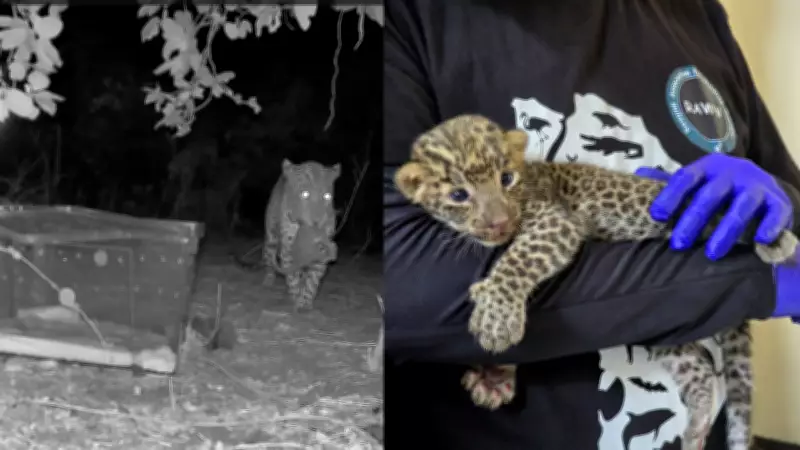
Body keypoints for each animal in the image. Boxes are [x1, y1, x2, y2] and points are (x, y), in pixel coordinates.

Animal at [262, 159, 340, 311]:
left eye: (327, 197)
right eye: (305, 194)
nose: (318, 221)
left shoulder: (321, 250)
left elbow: (313, 280)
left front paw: (306, 303)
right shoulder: (289, 248)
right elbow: (293, 277)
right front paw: (297, 300)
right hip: (272, 236)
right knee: (269, 255)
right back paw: (268, 280)